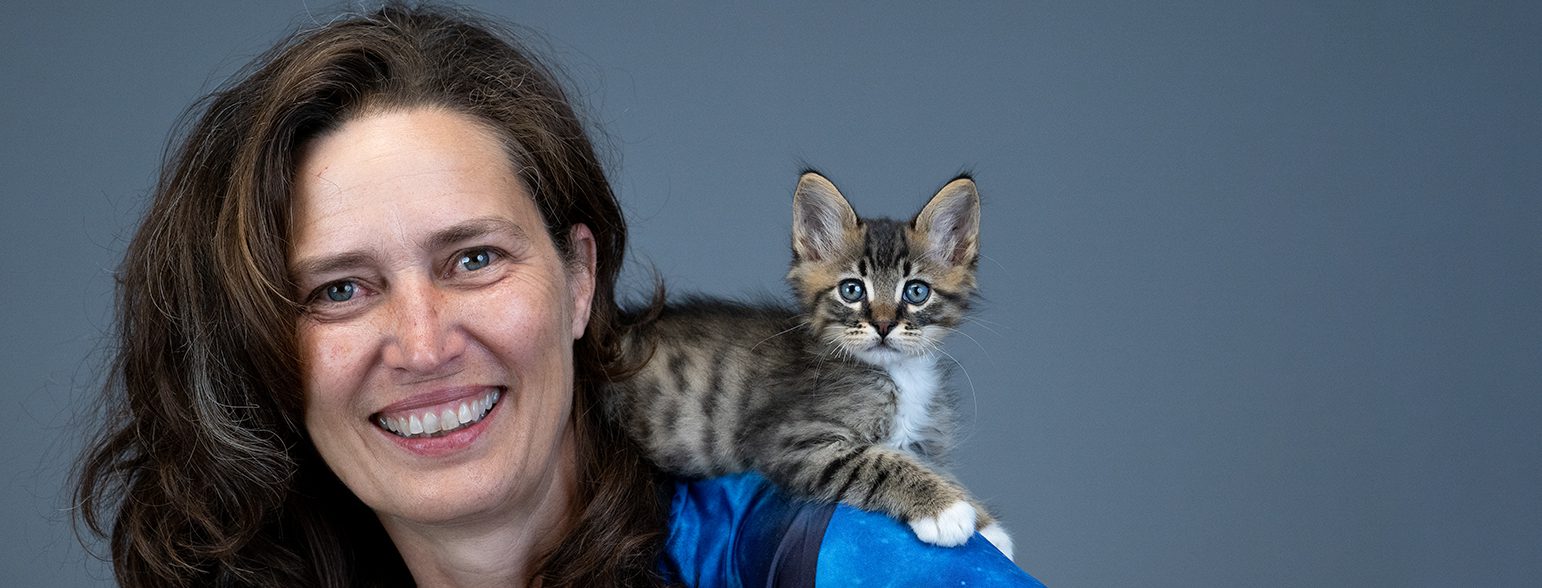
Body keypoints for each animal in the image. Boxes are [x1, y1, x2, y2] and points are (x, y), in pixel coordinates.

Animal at [607, 172, 1017, 555]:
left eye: (917, 292)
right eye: (852, 290)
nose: (884, 325)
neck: (899, 374)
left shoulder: (920, 442)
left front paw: (987, 526)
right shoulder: (791, 440)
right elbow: (877, 461)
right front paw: (947, 509)